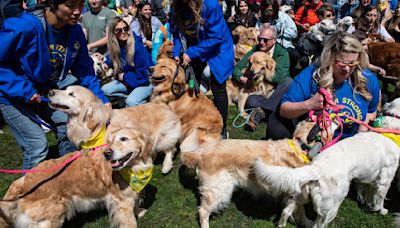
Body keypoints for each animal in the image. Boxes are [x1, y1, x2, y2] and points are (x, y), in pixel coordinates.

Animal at [180, 121, 322, 228]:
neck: (301, 147)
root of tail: (201, 153)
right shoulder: (296, 194)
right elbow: (301, 211)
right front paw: (307, 222)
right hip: (219, 190)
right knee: (202, 211)